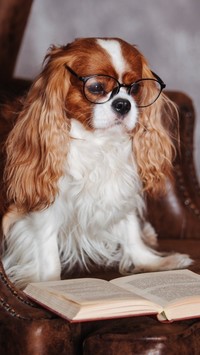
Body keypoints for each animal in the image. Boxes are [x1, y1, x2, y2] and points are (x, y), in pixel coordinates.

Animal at [1, 37, 192, 290]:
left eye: (135, 88)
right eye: (96, 88)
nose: (123, 104)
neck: (98, 142)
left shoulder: (120, 189)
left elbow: (130, 229)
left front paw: (151, 262)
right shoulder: (41, 205)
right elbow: (47, 251)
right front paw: (47, 287)